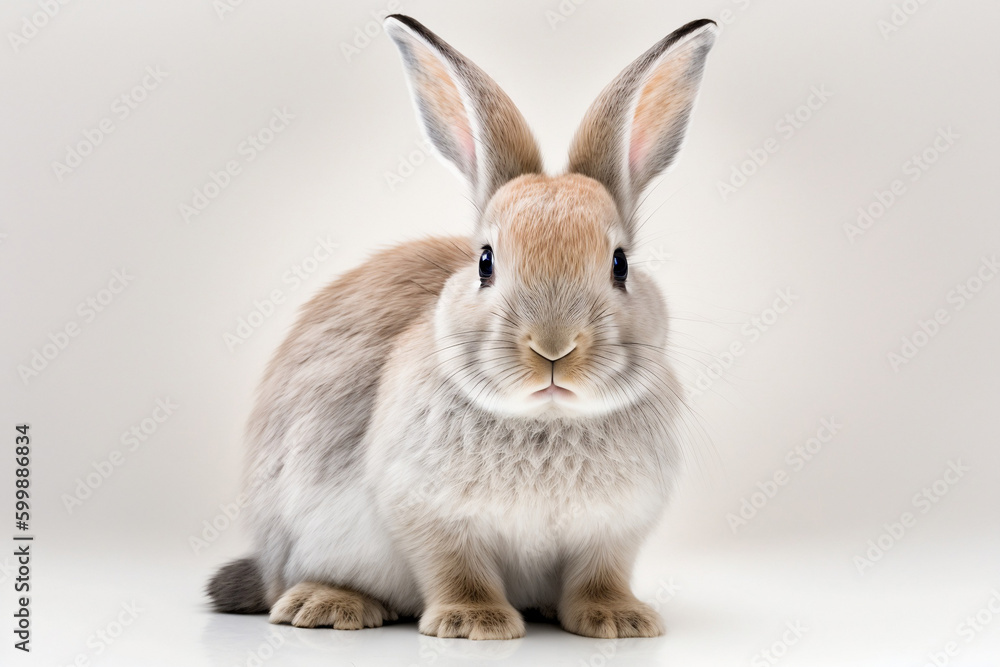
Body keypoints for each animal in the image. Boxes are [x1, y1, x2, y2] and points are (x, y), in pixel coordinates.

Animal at [207, 14, 716, 640]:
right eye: (485, 262)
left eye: (620, 265)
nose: (553, 347)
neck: (547, 418)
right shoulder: (428, 515)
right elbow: (455, 568)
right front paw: (474, 623)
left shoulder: (613, 532)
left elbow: (598, 577)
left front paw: (618, 621)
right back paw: (325, 605)